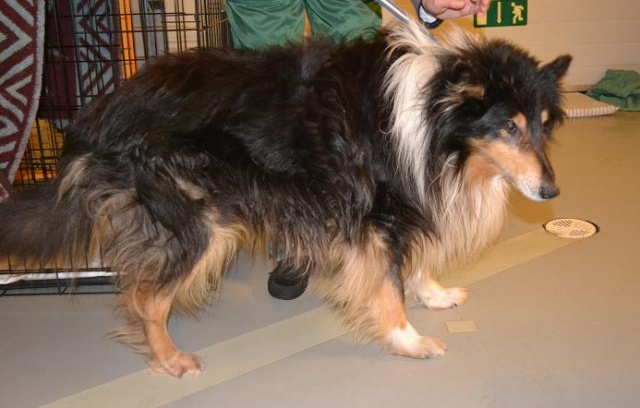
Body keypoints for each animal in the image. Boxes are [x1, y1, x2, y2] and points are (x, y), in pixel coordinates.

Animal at [0, 21, 571, 377]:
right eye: (509, 127)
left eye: (541, 125)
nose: (551, 191)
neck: (431, 117)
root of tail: (97, 118)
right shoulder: (375, 218)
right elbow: (387, 285)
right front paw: (408, 340)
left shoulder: (405, 208)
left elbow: (412, 265)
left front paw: (433, 293)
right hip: (200, 221)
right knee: (145, 297)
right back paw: (169, 360)